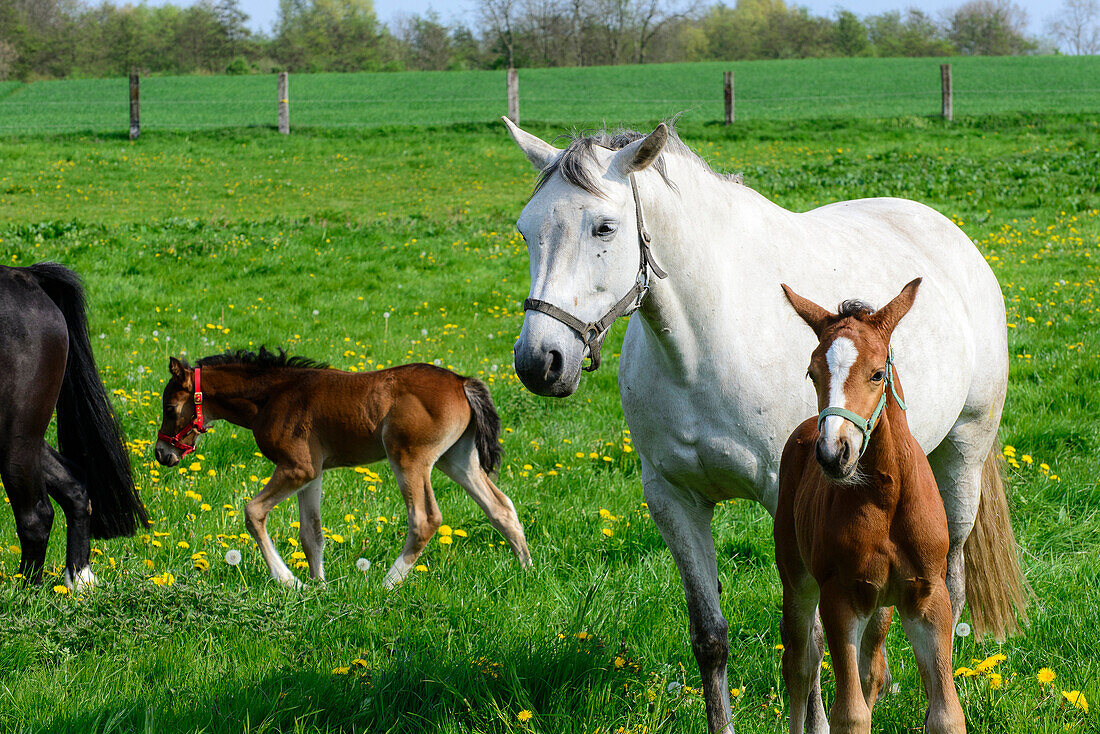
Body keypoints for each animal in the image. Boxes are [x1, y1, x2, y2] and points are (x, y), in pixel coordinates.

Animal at [156, 347, 532, 589]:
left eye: (171, 407)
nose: (162, 453)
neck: (272, 396)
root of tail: (462, 382)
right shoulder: (312, 474)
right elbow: (311, 532)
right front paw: (319, 585)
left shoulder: (297, 468)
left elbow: (253, 512)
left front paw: (289, 581)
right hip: (457, 459)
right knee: (501, 507)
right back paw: (528, 570)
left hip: (409, 457)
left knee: (425, 519)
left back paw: (386, 584)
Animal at [774, 281, 963, 734]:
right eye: (812, 373)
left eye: (877, 373)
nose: (833, 453)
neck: (885, 498)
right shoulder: (839, 597)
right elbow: (849, 713)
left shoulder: (929, 598)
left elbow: (946, 713)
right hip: (797, 579)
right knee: (800, 666)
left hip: (882, 606)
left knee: (871, 667)